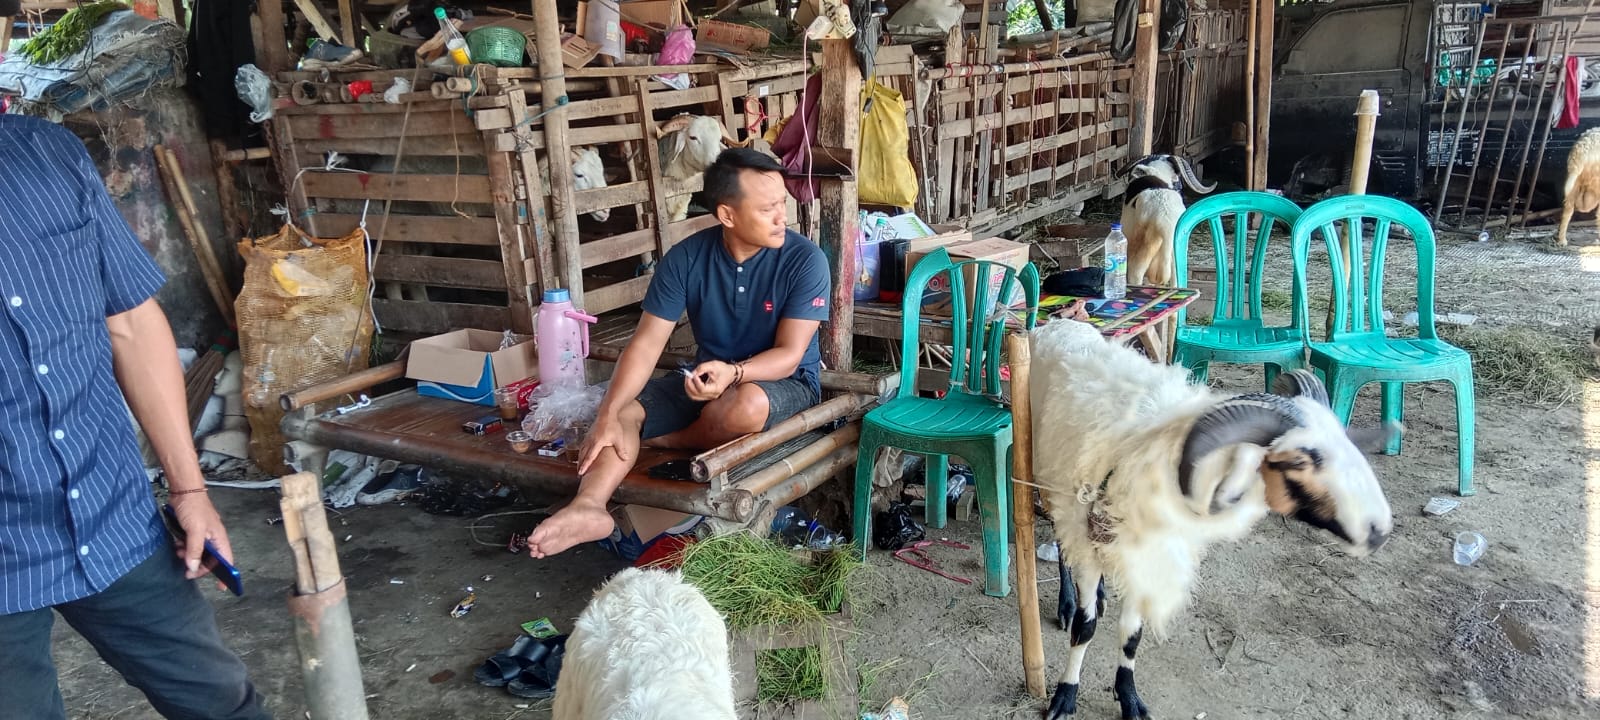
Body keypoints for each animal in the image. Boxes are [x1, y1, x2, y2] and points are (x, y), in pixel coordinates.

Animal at [1028, 319, 1395, 720]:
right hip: (1051, 481)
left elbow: (1132, 636)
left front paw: (1130, 699)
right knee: (1061, 542)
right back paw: (1067, 602)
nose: (1379, 530)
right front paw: (1065, 696)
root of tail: (1061, 322)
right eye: (1300, 460)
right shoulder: (1092, 536)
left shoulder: (1153, 555)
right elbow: (1086, 627)